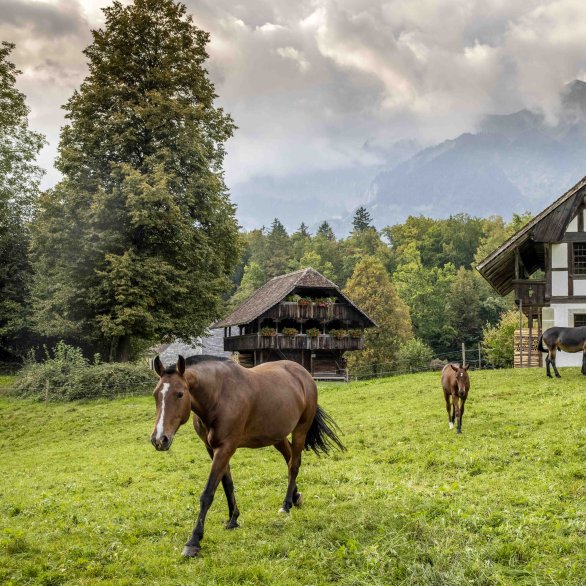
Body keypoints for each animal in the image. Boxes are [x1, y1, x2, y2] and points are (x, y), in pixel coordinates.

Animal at [148, 354, 344, 556]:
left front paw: (193, 541)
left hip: (300, 430)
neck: (219, 396)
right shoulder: (212, 448)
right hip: (277, 436)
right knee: (289, 458)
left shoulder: (225, 448)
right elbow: (227, 484)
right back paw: (295, 497)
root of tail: (304, 374)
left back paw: (286, 504)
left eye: (179, 394)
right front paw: (233, 519)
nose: (159, 439)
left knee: (294, 465)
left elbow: (208, 493)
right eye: (155, 394)